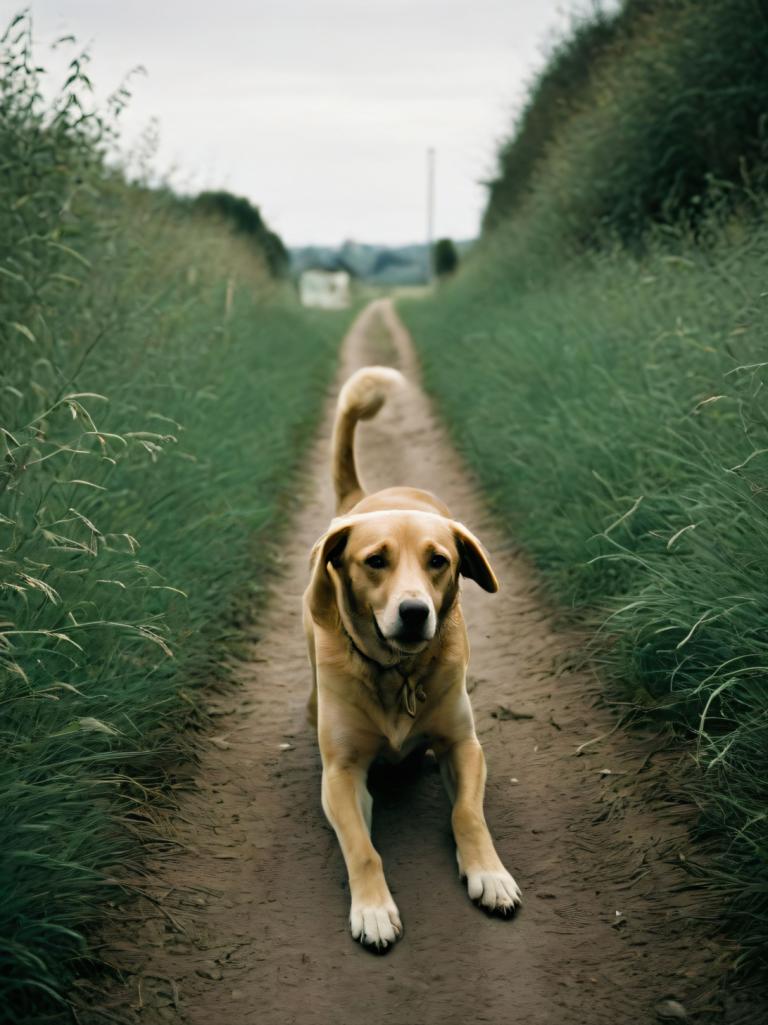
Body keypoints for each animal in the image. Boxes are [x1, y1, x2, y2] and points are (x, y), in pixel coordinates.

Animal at [301, 364, 520, 947]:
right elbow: (362, 848)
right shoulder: (341, 774)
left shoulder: (464, 747)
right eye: (375, 560)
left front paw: (489, 873)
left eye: (438, 560)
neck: (396, 674)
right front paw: (374, 909)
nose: (416, 611)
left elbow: (468, 814)